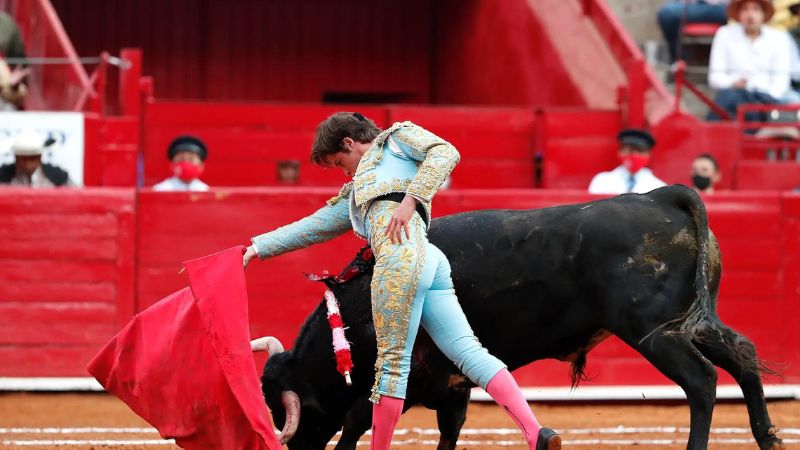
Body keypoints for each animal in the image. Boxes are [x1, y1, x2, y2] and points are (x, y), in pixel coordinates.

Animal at [260, 185, 784, 450]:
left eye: (284, 413)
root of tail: (660, 196)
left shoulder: (402, 374)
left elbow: (357, 421)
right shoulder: (451, 385)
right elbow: (449, 429)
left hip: (653, 331)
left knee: (701, 380)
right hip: (691, 321)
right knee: (743, 355)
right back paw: (768, 437)